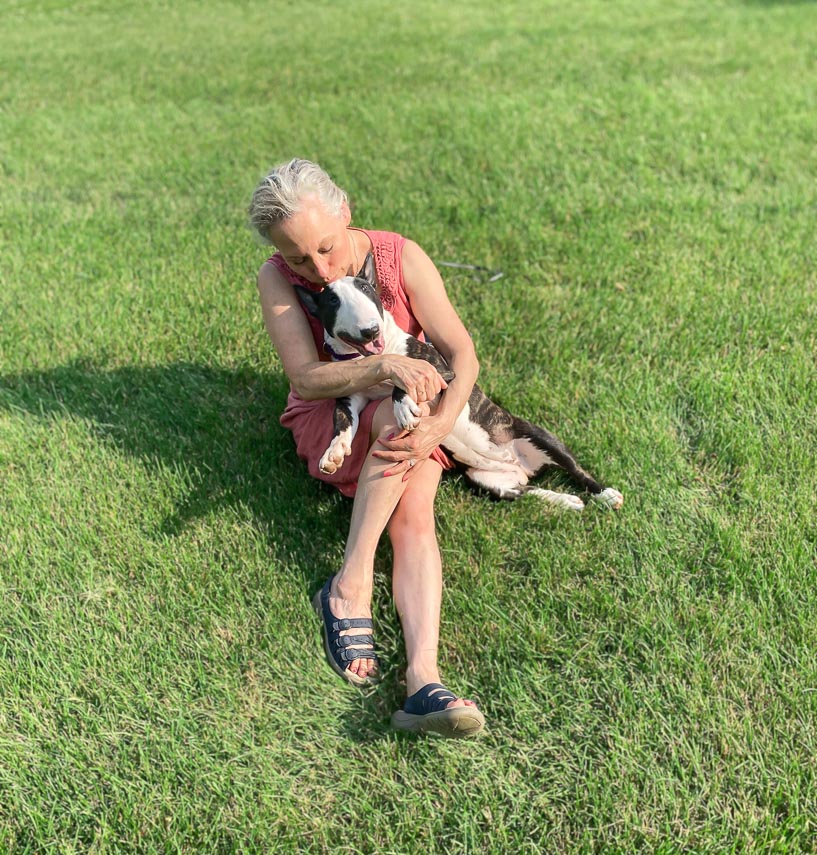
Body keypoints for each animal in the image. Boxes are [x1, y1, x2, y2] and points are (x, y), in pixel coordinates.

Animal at [294, 256, 623, 511]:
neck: (378, 358)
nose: (370, 330)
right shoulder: (350, 396)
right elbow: (342, 423)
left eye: (366, 290)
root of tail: (521, 467)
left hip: (539, 437)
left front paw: (403, 408)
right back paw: (566, 502)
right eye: (333, 301)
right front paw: (334, 454)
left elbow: (404, 381)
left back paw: (605, 495)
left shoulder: (441, 369)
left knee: (577, 471)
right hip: (488, 482)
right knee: (527, 494)